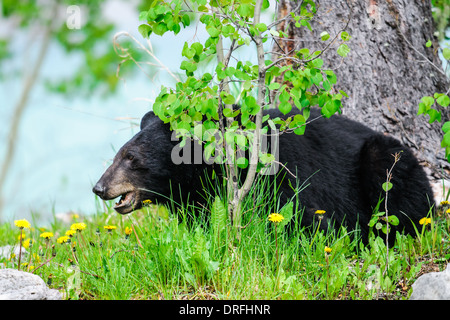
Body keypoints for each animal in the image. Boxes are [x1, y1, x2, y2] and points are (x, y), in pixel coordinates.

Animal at [93, 108, 434, 242]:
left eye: (131, 157)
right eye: (118, 154)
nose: (99, 187)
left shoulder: (281, 178)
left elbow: (307, 220)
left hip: (384, 159)